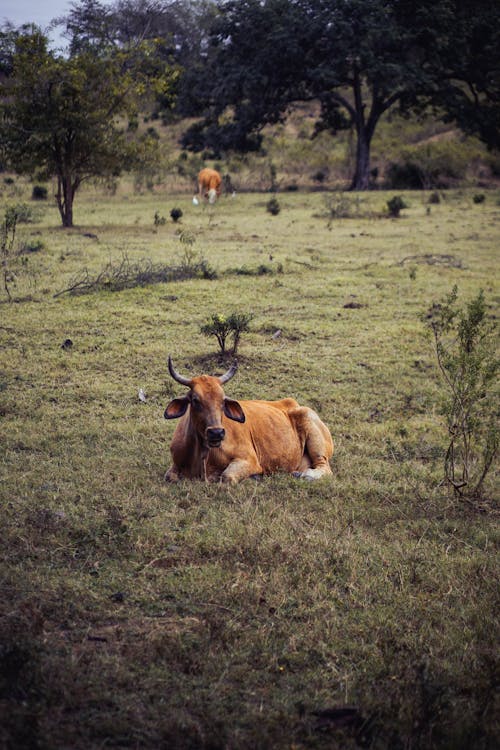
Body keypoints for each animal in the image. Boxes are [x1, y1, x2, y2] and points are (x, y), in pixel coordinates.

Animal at [164, 360, 334, 488]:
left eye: (223, 400)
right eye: (195, 400)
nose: (216, 433)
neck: (203, 455)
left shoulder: (248, 460)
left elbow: (227, 476)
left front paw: (255, 476)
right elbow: (170, 476)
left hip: (313, 430)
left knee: (325, 467)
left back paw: (307, 475)